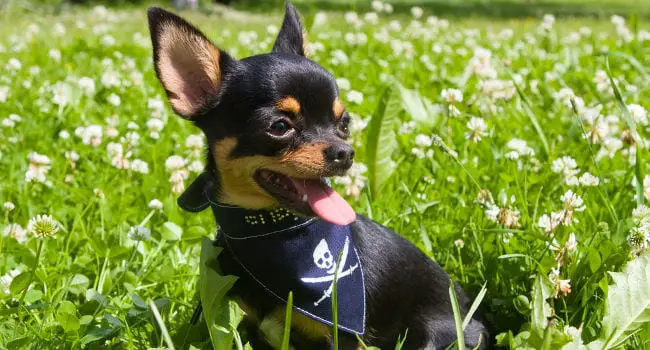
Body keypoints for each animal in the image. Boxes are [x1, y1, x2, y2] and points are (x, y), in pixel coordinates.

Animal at [147, 3, 488, 350]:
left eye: (344, 124)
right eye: (279, 127)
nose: (346, 153)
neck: (276, 234)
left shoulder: (340, 336)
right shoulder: (251, 328)